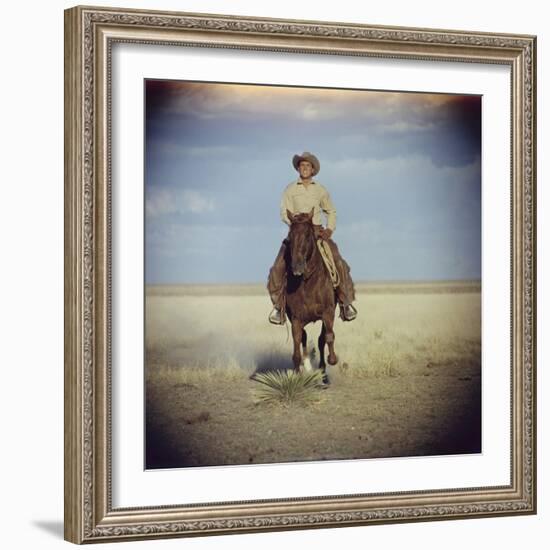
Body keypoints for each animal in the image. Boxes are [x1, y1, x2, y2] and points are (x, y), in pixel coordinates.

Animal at [286, 209, 338, 386]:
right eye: (290, 236)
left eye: (308, 235)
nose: (297, 266)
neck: (308, 281)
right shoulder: (296, 319)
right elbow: (296, 348)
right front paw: (297, 375)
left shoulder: (328, 313)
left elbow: (328, 337)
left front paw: (332, 360)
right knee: (304, 338)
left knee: (322, 340)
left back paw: (323, 373)